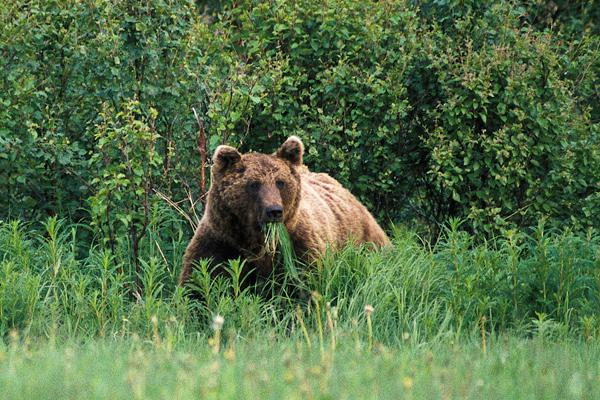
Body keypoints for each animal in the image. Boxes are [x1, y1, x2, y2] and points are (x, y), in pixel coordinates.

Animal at [179, 136, 390, 286]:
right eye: (253, 184)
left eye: (280, 182)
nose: (274, 211)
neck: (257, 241)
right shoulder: (221, 241)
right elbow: (199, 278)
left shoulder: (297, 243)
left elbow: (305, 282)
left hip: (362, 240)